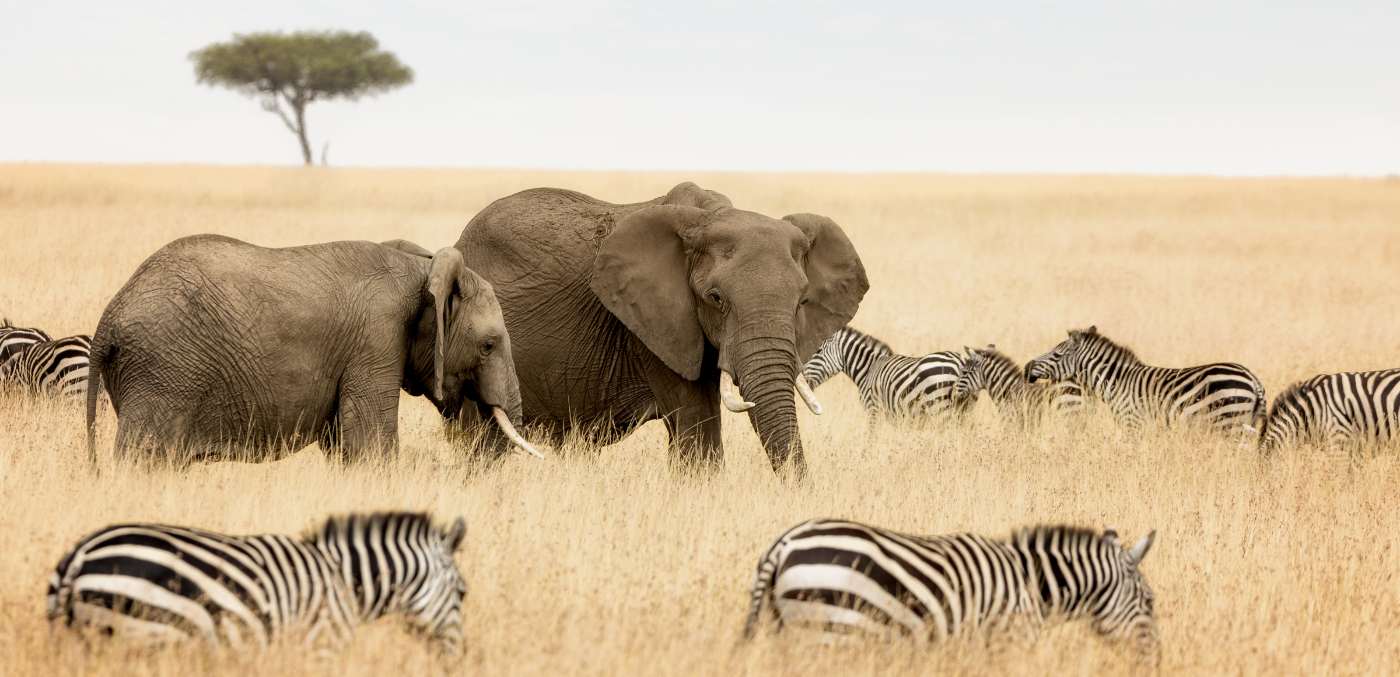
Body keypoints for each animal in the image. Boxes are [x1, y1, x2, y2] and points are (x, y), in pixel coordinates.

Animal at [86, 234, 542, 464]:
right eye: (488, 345)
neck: (422, 268)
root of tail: (106, 322)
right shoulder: (375, 339)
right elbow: (370, 445)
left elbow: (343, 446)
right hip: (163, 373)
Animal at [743, 518, 1159, 663]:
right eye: (1151, 602)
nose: (1155, 660)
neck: (1029, 584)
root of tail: (784, 544)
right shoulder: (1008, 641)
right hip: (832, 631)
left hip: (787, 630)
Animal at [801, 326, 971, 419]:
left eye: (817, 351)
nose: (803, 376)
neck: (868, 368)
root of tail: (958, 362)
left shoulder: (873, 409)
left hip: (938, 406)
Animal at [1025, 326, 1265, 434]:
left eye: (1057, 355)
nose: (1027, 368)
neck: (1116, 383)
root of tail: (1253, 379)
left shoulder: (1132, 423)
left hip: (1228, 422)